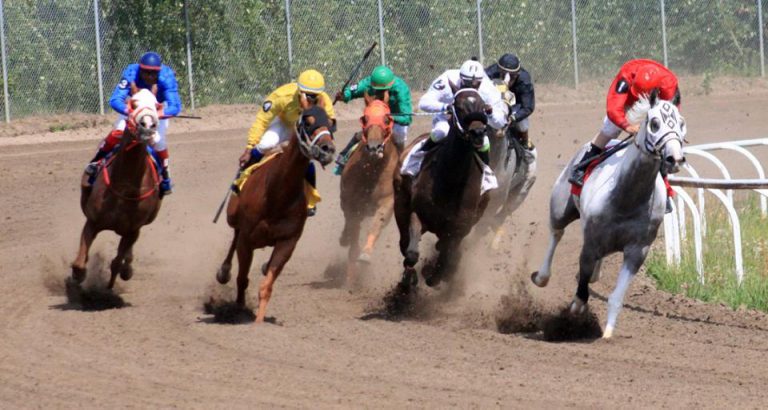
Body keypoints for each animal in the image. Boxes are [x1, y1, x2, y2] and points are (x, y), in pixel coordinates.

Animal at [71, 87, 164, 288]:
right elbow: (79, 262)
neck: (125, 186)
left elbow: (116, 262)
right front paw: (78, 276)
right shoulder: (92, 221)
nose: (148, 125)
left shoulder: (132, 230)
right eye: (133, 103)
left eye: (156, 105)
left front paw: (116, 278)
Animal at [216, 102, 336, 324]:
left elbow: (266, 286)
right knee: (234, 238)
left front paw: (259, 323)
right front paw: (239, 310)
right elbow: (242, 278)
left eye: (331, 123)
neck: (277, 194)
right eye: (308, 121)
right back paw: (223, 271)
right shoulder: (247, 240)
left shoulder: (287, 242)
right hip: (232, 217)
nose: (328, 149)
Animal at [340, 91, 400, 280]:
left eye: (387, 119)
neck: (372, 173)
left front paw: (365, 254)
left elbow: (377, 223)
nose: (374, 148)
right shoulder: (351, 203)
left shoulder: (388, 201)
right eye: (364, 118)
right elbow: (353, 229)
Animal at [396, 85, 492, 292]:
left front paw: (436, 275)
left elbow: (447, 255)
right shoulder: (418, 213)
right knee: (404, 241)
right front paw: (411, 278)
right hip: (400, 202)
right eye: (459, 106)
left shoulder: (459, 228)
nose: (478, 133)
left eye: (483, 105)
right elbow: (412, 253)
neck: (451, 181)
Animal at [532, 91, 688, 338]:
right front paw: (576, 310)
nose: (675, 158)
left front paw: (607, 332)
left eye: (681, 123)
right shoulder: (591, 241)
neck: (627, 197)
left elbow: (616, 296)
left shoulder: (638, 250)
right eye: (655, 123)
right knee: (556, 233)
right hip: (559, 208)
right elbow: (582, 282)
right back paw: (542, 276)